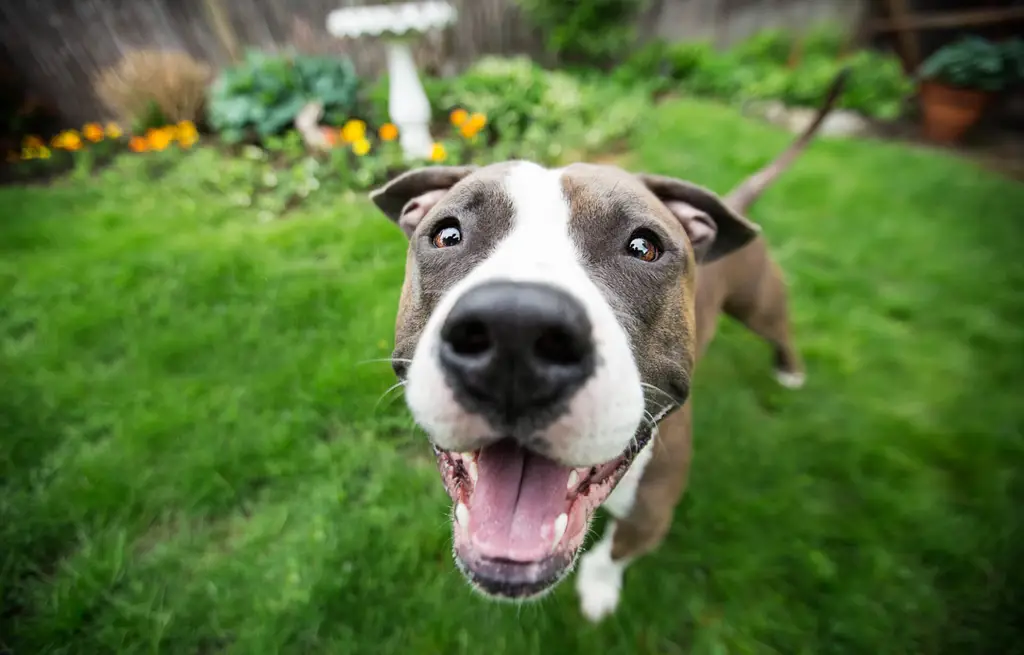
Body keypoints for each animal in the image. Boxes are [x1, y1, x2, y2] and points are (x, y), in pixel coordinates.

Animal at [368, 70, 847, 618]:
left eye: (644, 247)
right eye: (447, 235)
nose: (515, 329)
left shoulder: (652, 509)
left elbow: (615, 551)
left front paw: (598, 590)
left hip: (758, 301)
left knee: (779, 327)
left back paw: (789, 369)